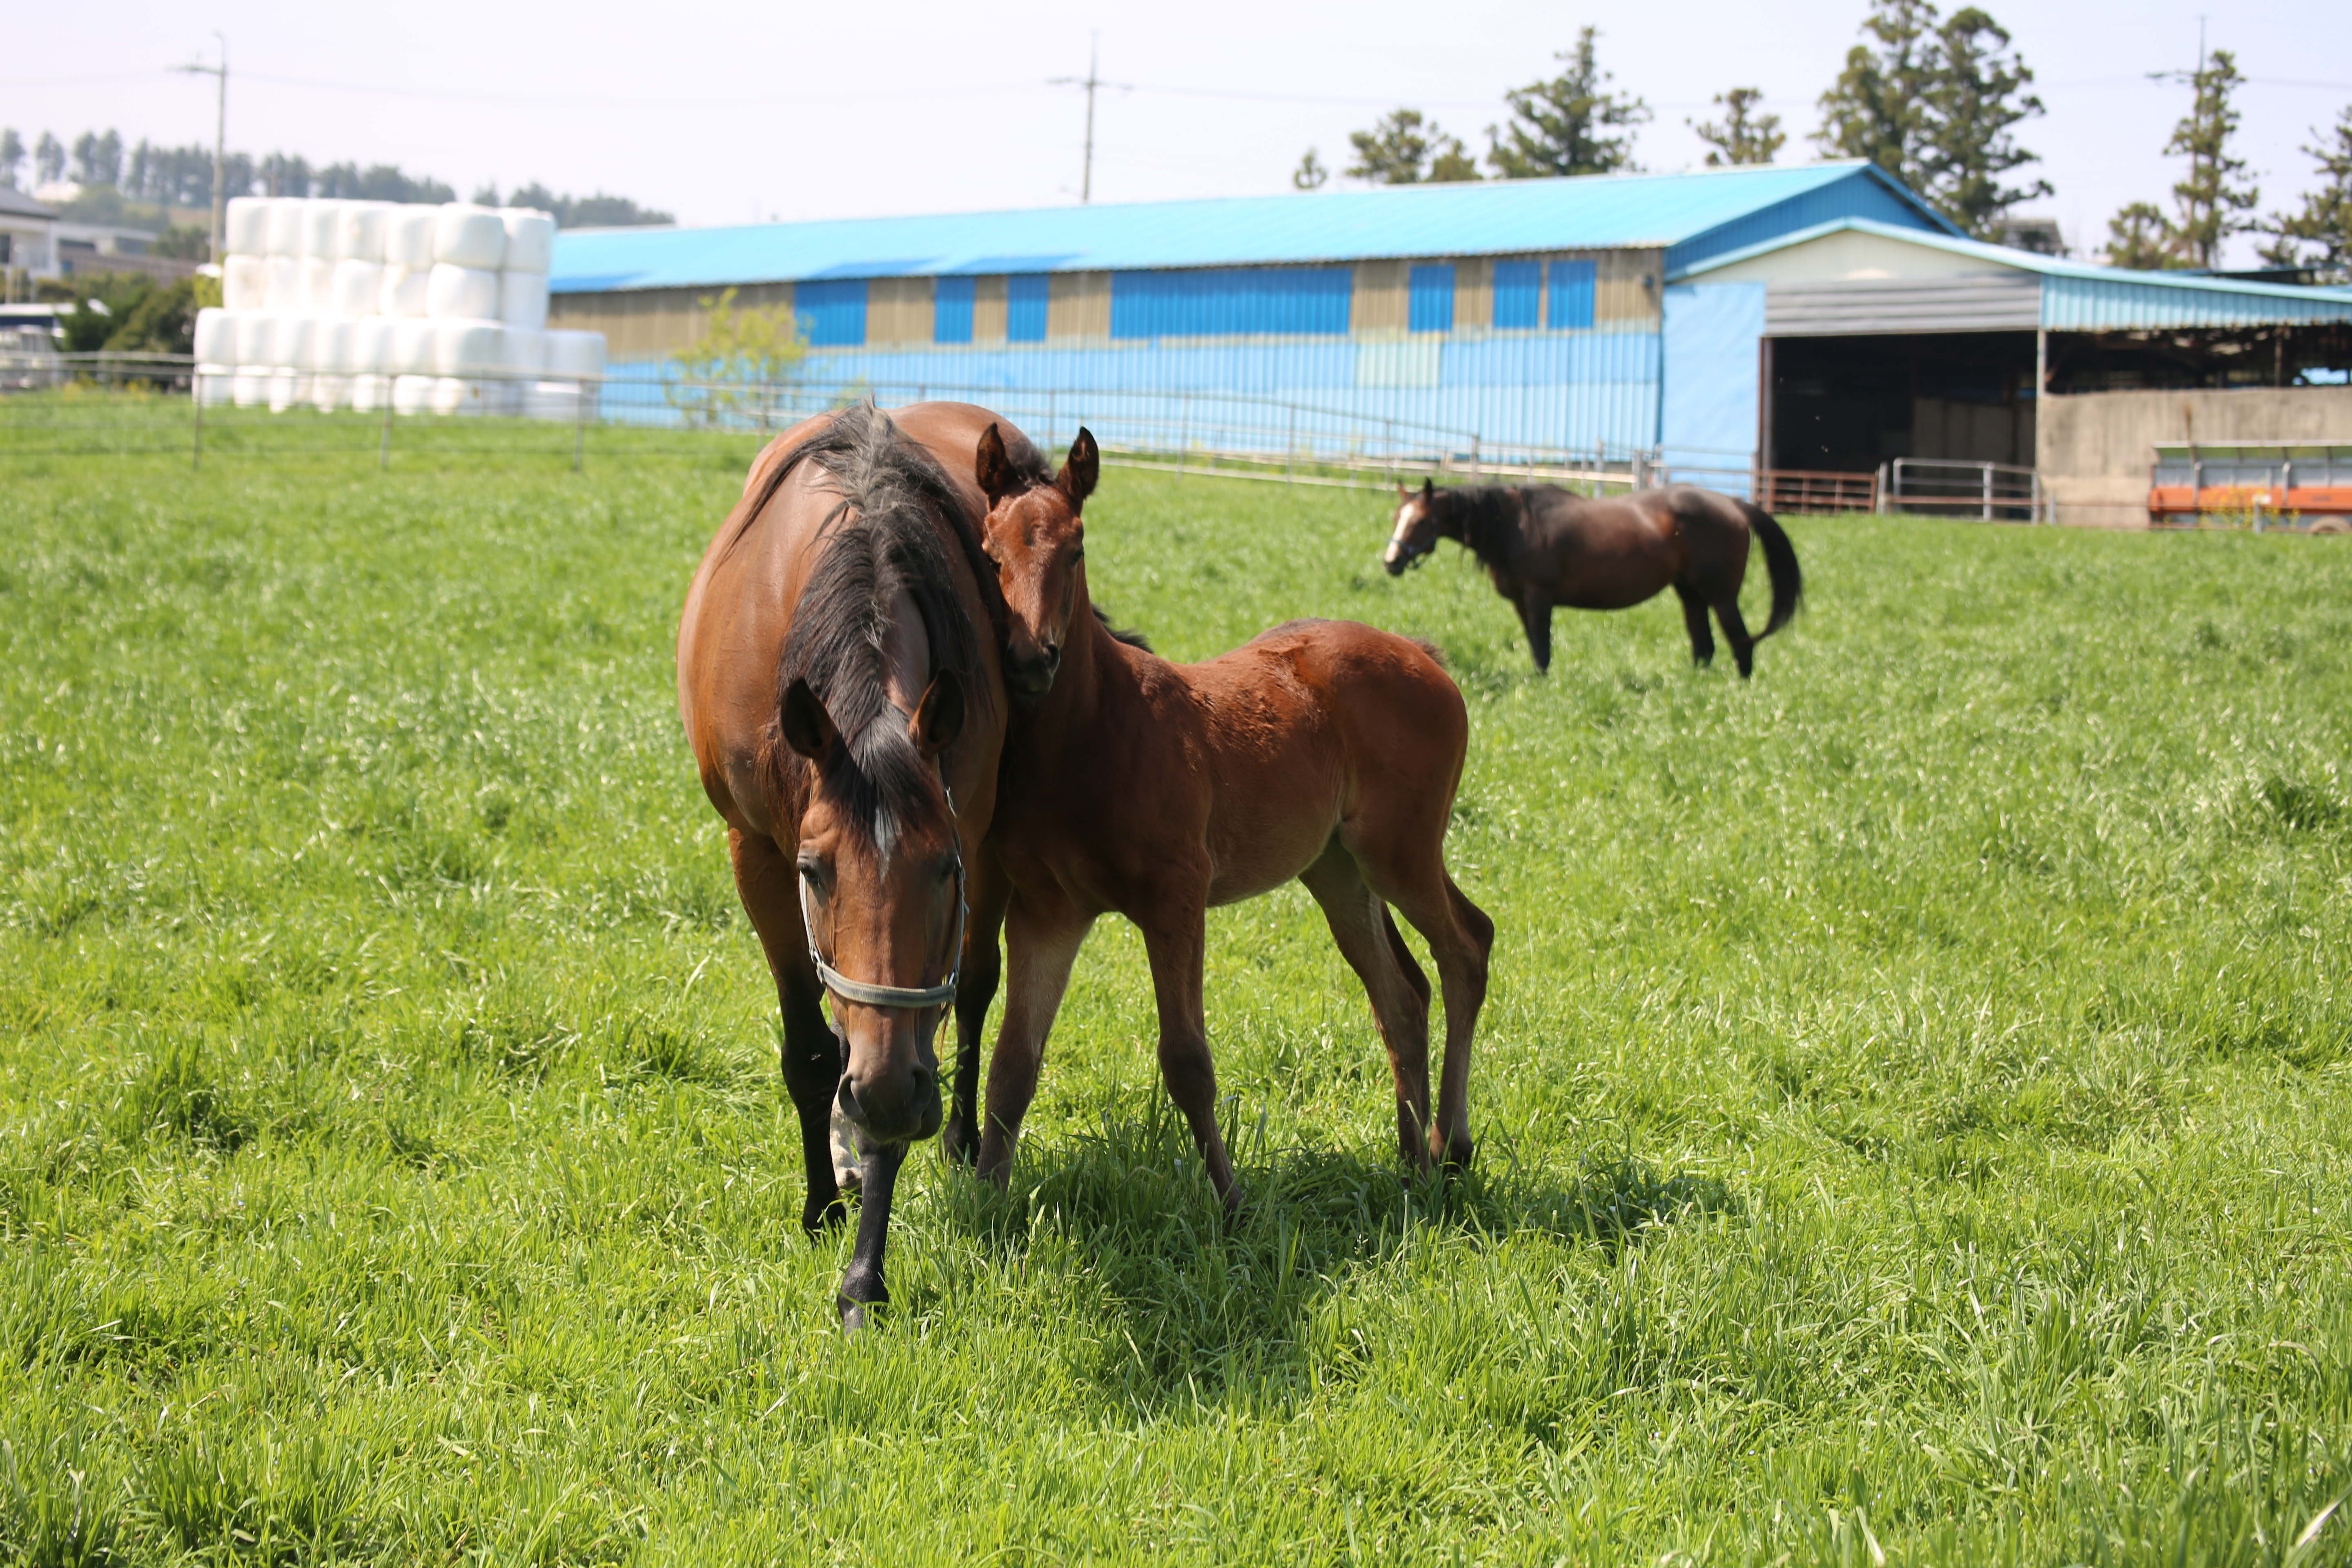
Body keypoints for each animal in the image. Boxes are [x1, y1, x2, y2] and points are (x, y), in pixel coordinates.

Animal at [677, 402, 1054, 1326]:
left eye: (944, 871)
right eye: (816, 872)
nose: (885, 1094)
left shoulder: (973, 831)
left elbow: (926, 1027)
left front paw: (863, 1278)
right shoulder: (755, 852)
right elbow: (814, 1052)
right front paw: (823, 1206)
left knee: (972, 997)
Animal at [955, 423, 1486, 1194]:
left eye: (1076, 551)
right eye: (992, 554)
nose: (1030, 661)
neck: (1091, 735)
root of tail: (1422, 656)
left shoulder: (1176, 897)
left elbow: (1187, 1060)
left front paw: (1232, 1203)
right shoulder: (1047, 912)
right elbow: (1013, 1066)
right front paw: (989, 1201)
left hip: (1400, 853)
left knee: (1467, 949)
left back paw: (1453, 1145)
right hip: (1338, 870)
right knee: (1403, 998)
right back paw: (1412, 1162)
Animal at [1373, 479, 1797, 677]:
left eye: (1421, 522)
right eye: (1397, 518)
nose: (1391, 561)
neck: (1515, 525)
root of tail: (1733, 504)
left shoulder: (1539, 597)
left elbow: (1542, 649)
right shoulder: (1521, 602)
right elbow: (1535, 646)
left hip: (1721, 595)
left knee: (1740, 642)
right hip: (1689, 594)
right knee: (1704, 646)